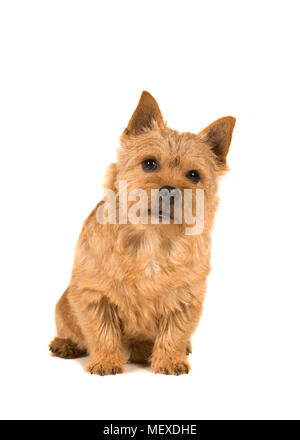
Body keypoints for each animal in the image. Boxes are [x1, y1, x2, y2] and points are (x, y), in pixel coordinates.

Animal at [49, 91, 236, 376]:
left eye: (194, 175)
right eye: (149, 163)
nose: (169, 190)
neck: (152, 239)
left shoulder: (186, 297)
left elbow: (175, 332)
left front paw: (170, 359)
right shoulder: (94, 295)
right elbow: (102, 331)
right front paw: (106, 360)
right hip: (63, 305)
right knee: (68, 328)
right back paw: (64, 345)